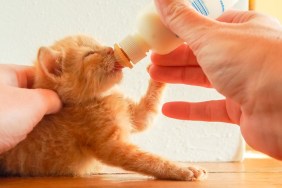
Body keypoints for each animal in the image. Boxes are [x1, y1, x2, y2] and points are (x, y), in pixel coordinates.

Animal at [0, 35, 207, 181]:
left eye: (99, 44)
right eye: (90, 54)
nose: (109, 48)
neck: (98, 99)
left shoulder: (135, 116)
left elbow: (147, 111)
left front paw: (158, 67)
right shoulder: (111, 146)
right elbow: (147, 159)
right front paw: (182, 169)